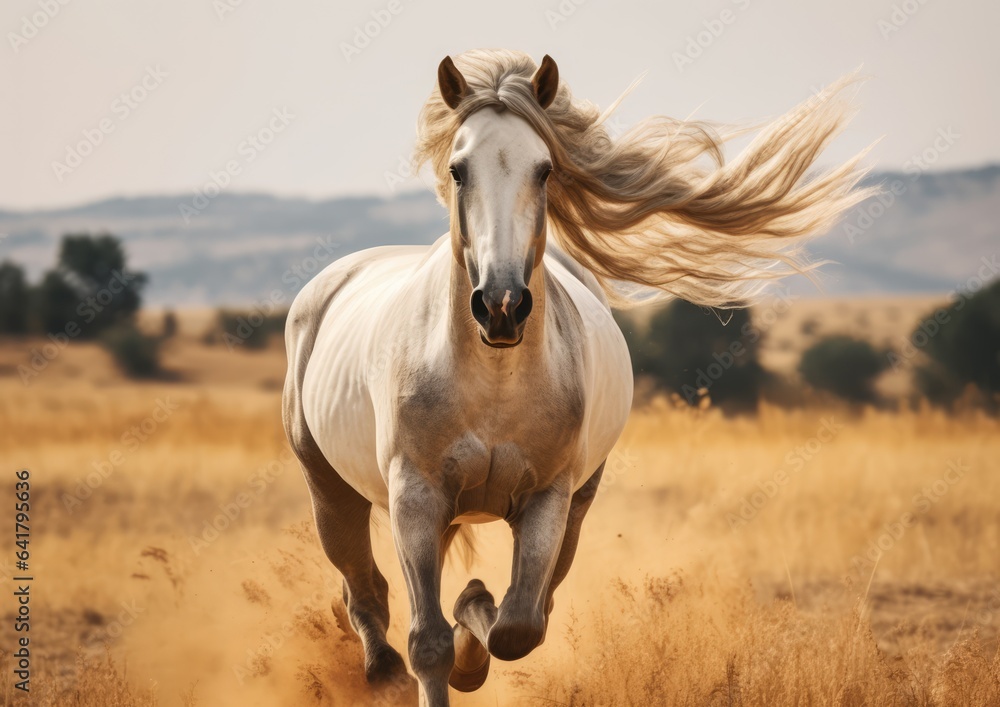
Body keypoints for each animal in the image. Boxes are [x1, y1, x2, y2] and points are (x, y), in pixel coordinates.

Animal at [283, 49, 871, 706]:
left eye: (544, 170)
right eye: (459, 170)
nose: (502, 305)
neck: (493, 384)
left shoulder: (548, 498)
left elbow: (516, 627)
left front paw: (474, 618)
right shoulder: (415, 497)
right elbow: (428, 644)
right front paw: (452, 645)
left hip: (576, 504)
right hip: (329, 489)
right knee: (367, 597)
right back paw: (380, 666)